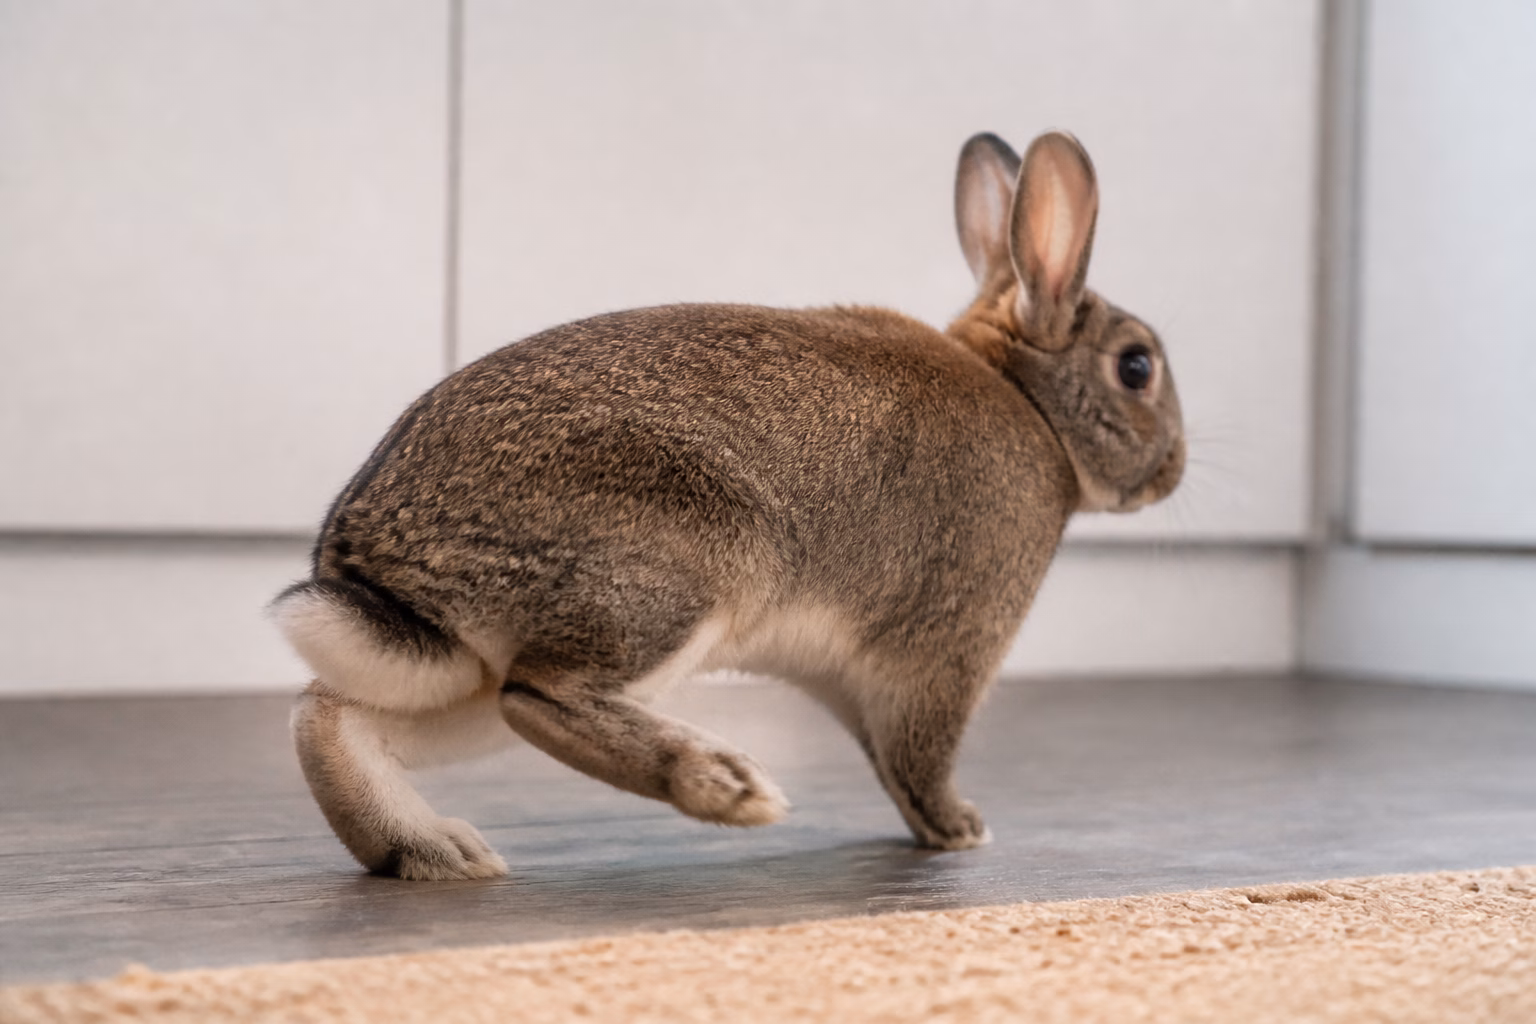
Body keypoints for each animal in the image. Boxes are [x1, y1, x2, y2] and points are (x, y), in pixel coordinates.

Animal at [272, 130, 1185, 880]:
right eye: (1137, 366)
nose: (1172, 471)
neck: (1030, 399)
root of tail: (371, 550)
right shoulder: (949, 646)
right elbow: (919, 758)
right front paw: (963, 829)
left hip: (465, 671)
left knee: (337, 714)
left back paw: (434, 850)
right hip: (683, 574)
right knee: (542, 697)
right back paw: (728, 786)